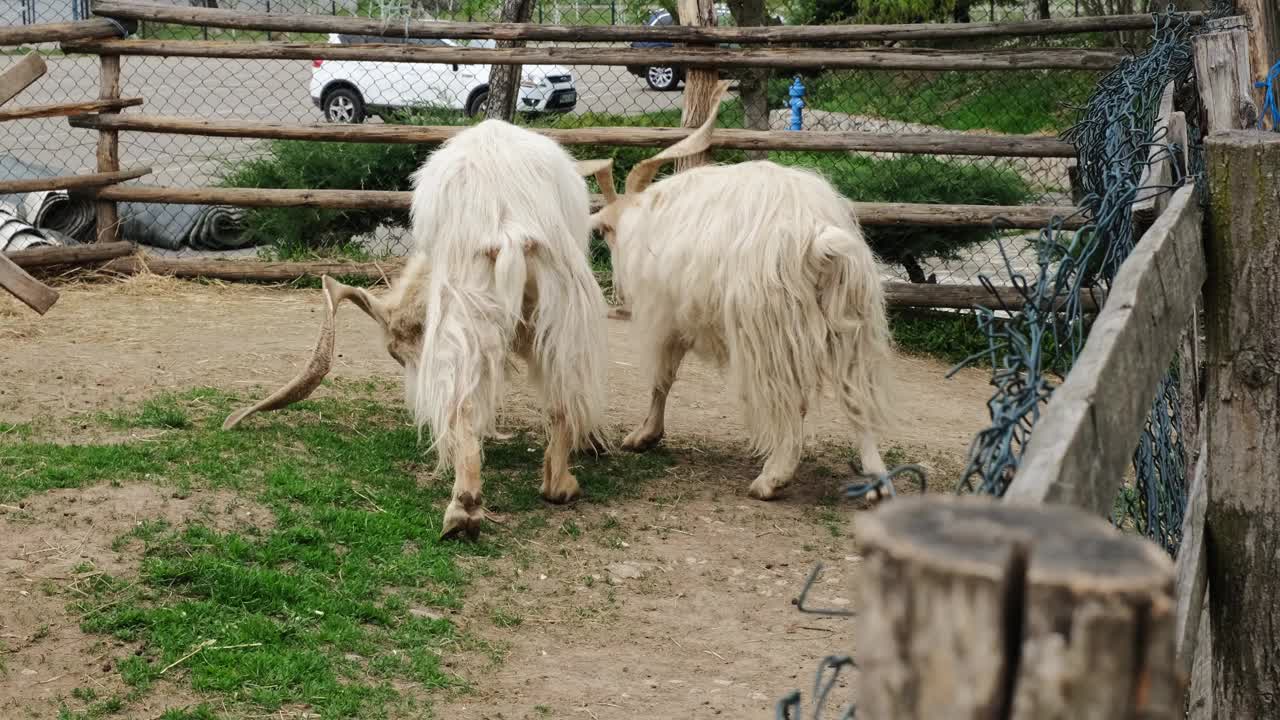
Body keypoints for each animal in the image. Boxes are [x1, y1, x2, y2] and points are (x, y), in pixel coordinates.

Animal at [224, 120, 609, 538]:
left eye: (396, 354)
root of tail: (505, 222)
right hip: (543, 306)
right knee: (546, 394)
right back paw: (526, 494)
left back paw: (473, 508)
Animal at [586, 77, 896, 491]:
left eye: (604, 230)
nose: (619, 291)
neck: (644, 217)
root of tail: (816, 235)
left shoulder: (666, 315)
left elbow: (662, 377)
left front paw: (644, 435)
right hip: (850, 321)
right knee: (856, 397)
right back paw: (876, 481)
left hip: (769, 327)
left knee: (791, 399)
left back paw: (774, 477)